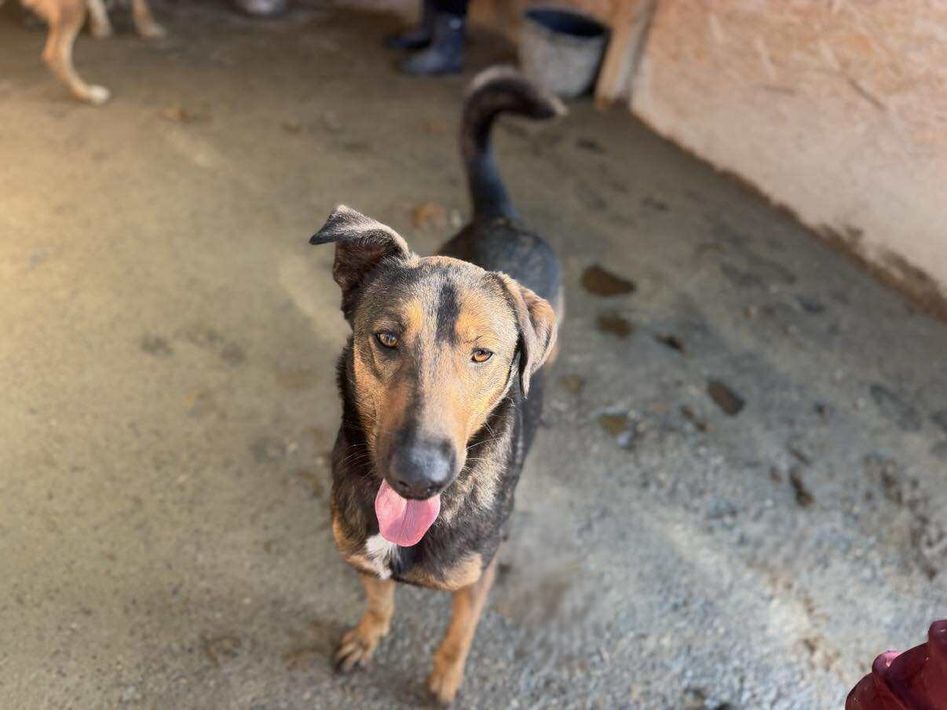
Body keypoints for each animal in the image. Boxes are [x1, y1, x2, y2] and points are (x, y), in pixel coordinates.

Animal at [7, 0, 165, 104]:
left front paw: (100, 26)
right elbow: (142, 6)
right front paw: (148, 28)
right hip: (72, 8)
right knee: (54, 55)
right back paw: (87, 94)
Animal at [308, 67, 565, 704]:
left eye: (483, 354)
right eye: (386, 339)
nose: (418, 478)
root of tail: (504, 217)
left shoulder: (477, 577)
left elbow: (459, 632)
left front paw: (444, 680)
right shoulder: (359, 556)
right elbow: (380, 600)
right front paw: (367, 636)